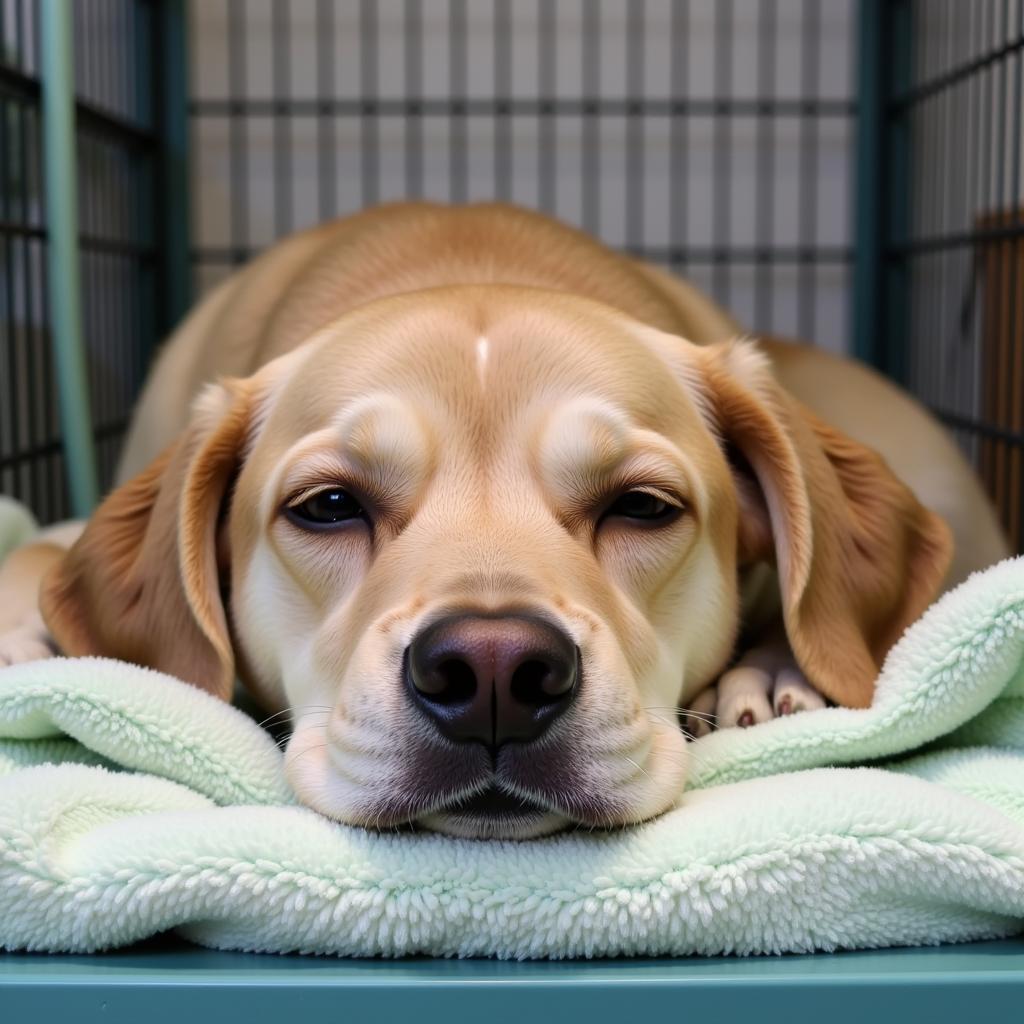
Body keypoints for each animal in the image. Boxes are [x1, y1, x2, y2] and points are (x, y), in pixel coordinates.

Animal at [0, 201, 1007, 839]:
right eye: (329, 507)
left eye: (643, 506)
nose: (492, 673)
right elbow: (40, 549)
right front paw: (23, 631)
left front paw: (774, 666)